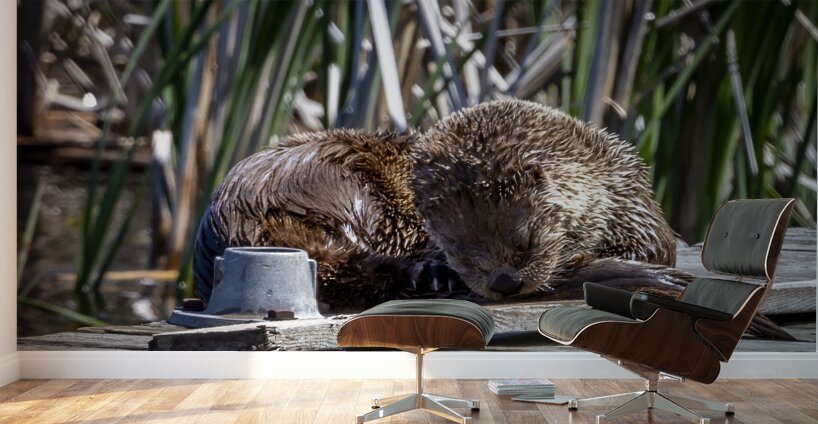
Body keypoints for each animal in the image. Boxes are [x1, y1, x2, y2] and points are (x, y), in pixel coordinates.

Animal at [410, 99, 678, 300]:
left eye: (527, 240)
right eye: (462, 256)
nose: (505, 282)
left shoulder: (629, 198)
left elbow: (653, 250)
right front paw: (436, 272)